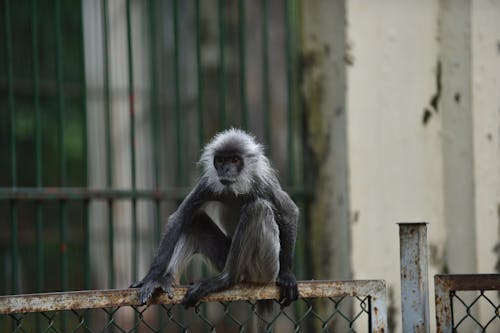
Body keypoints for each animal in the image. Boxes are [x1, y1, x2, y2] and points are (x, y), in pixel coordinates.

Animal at [131, 127, 298, 312]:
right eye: (220, 161)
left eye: (234, 160)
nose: (225, 170)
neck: (236, 189)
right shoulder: (208, 185)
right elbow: (179, 218)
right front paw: (152, 279)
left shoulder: (263, 184)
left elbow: (289, 213)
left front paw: (287, 275)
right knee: (196, 220)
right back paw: (167, 279)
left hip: (265, 269)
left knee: (257, 209)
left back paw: (225, 280)